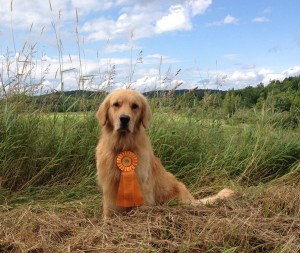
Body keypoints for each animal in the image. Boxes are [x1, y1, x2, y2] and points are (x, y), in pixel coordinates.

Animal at [95, 90, 233, 218]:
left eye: (135, 106)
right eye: (116, 104)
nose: (124, 119)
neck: (122, 146)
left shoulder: (142, 188)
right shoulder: (109, 188)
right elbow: (108, 210)